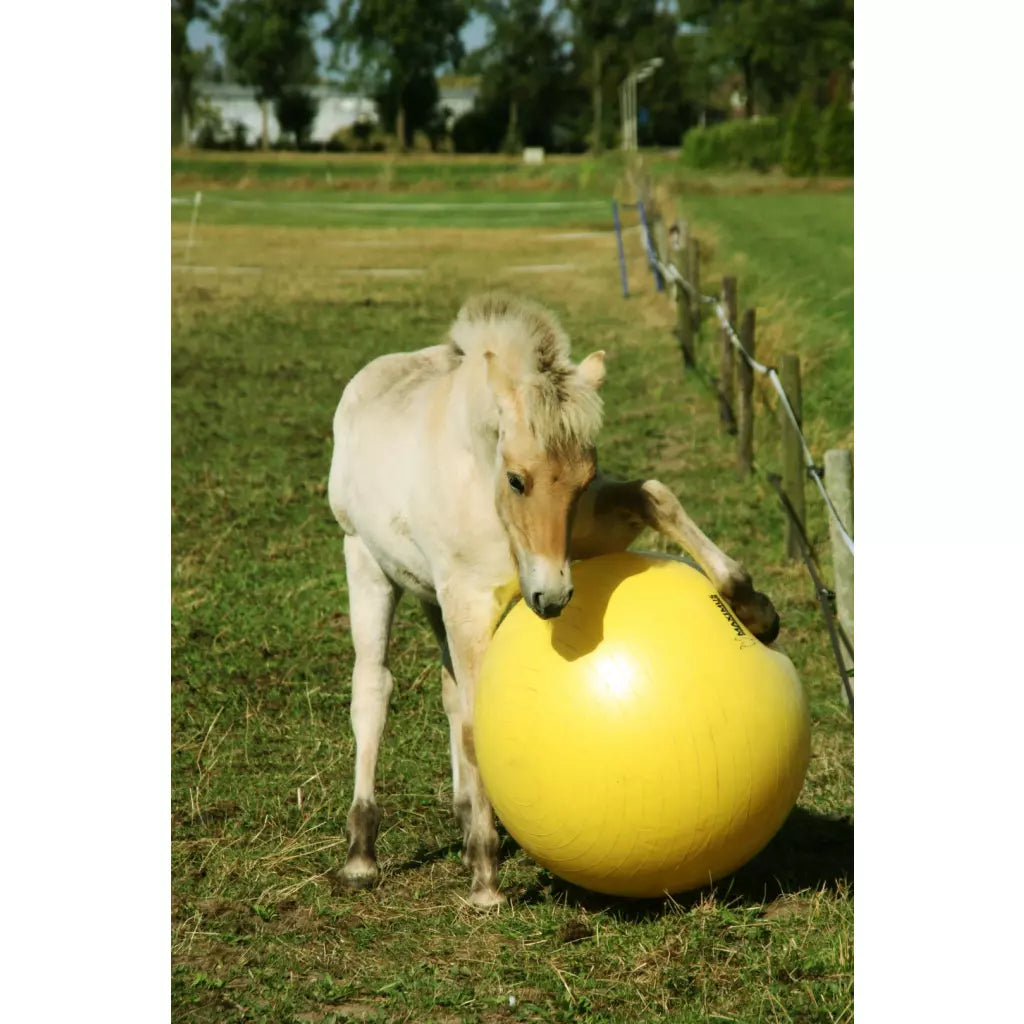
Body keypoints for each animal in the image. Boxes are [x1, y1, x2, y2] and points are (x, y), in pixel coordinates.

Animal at [327, 294, 779, 908]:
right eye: (518, 479)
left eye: (583, 478)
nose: (553, 596)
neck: (482, 482)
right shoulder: (469, 599)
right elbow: (476, 722)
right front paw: (486, 880)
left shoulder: (581, 538)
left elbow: (656, 494)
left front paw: (756, 611)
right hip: (368, 566)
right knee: (373, 688)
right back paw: (362, 854)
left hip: (430, 597)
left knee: (446, 692)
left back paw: (462, 820)